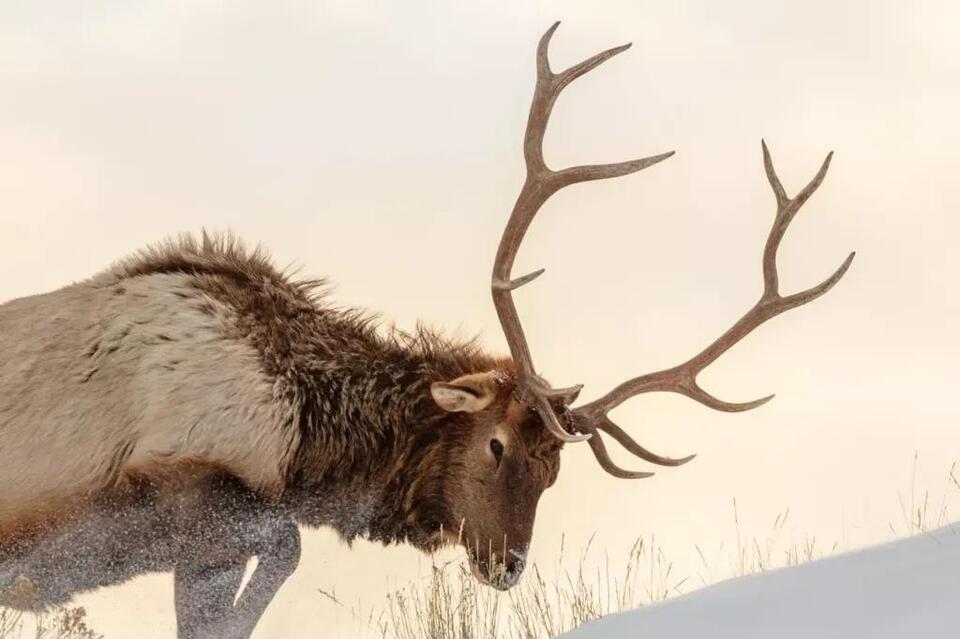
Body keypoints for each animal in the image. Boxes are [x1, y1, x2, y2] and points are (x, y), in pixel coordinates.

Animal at [0, 22, 854, 639]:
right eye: (496, 444)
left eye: (554, 470)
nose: (508, 564)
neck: (304, 434)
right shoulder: (181, 485)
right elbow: (281, 547)